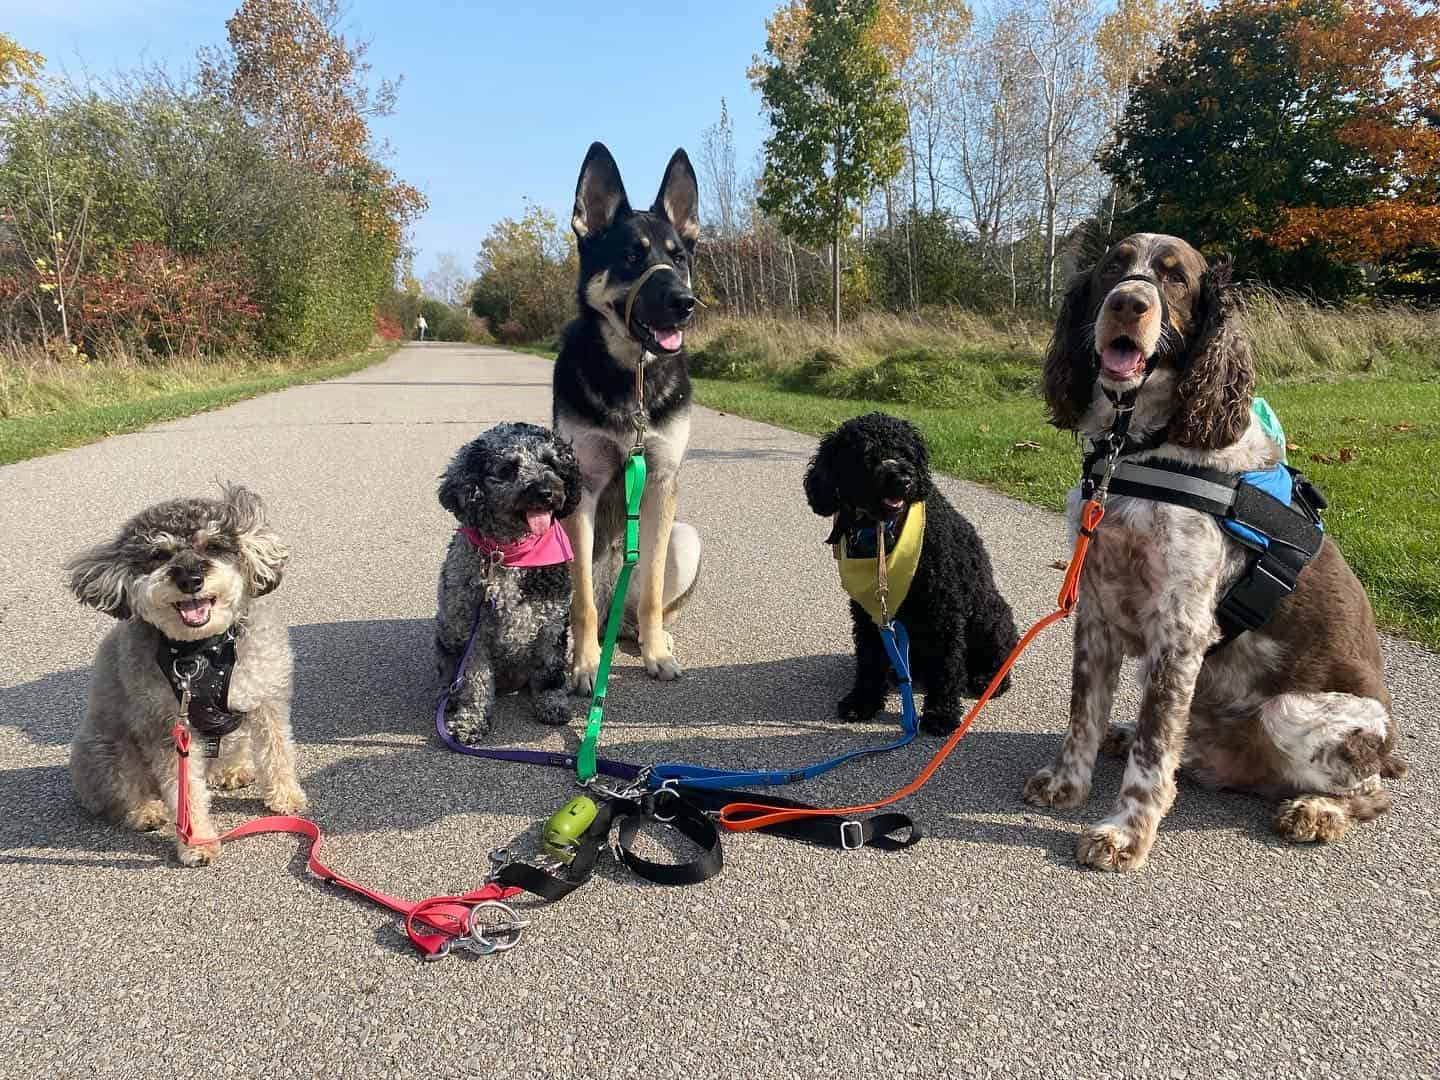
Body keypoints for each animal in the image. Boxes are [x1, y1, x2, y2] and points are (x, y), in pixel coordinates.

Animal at [67, 486, 306, 869]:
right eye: (158, 555)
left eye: (213, 545)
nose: (190, 580)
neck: (202, 652)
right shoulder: (168, 729)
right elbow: (185, 792)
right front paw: (197, 843)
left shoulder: (266, 699)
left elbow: (277, 752)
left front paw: (286, 796)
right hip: (105, 748)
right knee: (123, 789)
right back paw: (145, 811)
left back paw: (229, 770)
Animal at [434, 423, 581, 743]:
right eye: (508, 468)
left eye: (551, 462)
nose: (546, 492)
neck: (508, 553)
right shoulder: (473, 632)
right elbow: (475, 681)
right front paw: (472, 720)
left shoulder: (552, 623)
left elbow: (550, 671)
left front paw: (552, 703)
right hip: (446, 634)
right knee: (450, 673)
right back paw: (449, 697)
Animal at [552, 141, 699, 694]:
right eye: (631, 258)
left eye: (678, 258)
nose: (686, 303)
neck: (631, 377)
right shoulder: (583, 490)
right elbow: (582, 604)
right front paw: (585, 665)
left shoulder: (660, 484)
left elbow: (654, 588)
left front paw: (657, 654)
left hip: (685, 537)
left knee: (642, 609)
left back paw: (649, 637)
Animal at [800, 411, 1025, 737]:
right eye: (866, 454)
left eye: (905, 452)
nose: (903, 479)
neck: (883, 532)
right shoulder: (869, 613)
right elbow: (869, 660)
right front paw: (863, 701)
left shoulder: (943, 610)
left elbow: (946, 668)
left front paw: (941, 714)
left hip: (989, 619)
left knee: (997, 660)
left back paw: (986, 680)